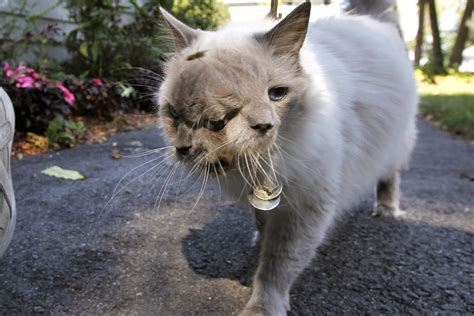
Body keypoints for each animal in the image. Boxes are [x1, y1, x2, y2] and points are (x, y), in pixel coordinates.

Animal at [155, 0, 414, 314]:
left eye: (277, 94)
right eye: (215, 116)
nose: (263, 125)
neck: (258, 163)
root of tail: (369, 18)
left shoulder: (304, 209)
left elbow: (276, 267)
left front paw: (262, 307)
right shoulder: (265, 196)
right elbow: (261, 220)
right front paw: (259, 237)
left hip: (395, 143)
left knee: (390, 175)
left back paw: (387, 209)